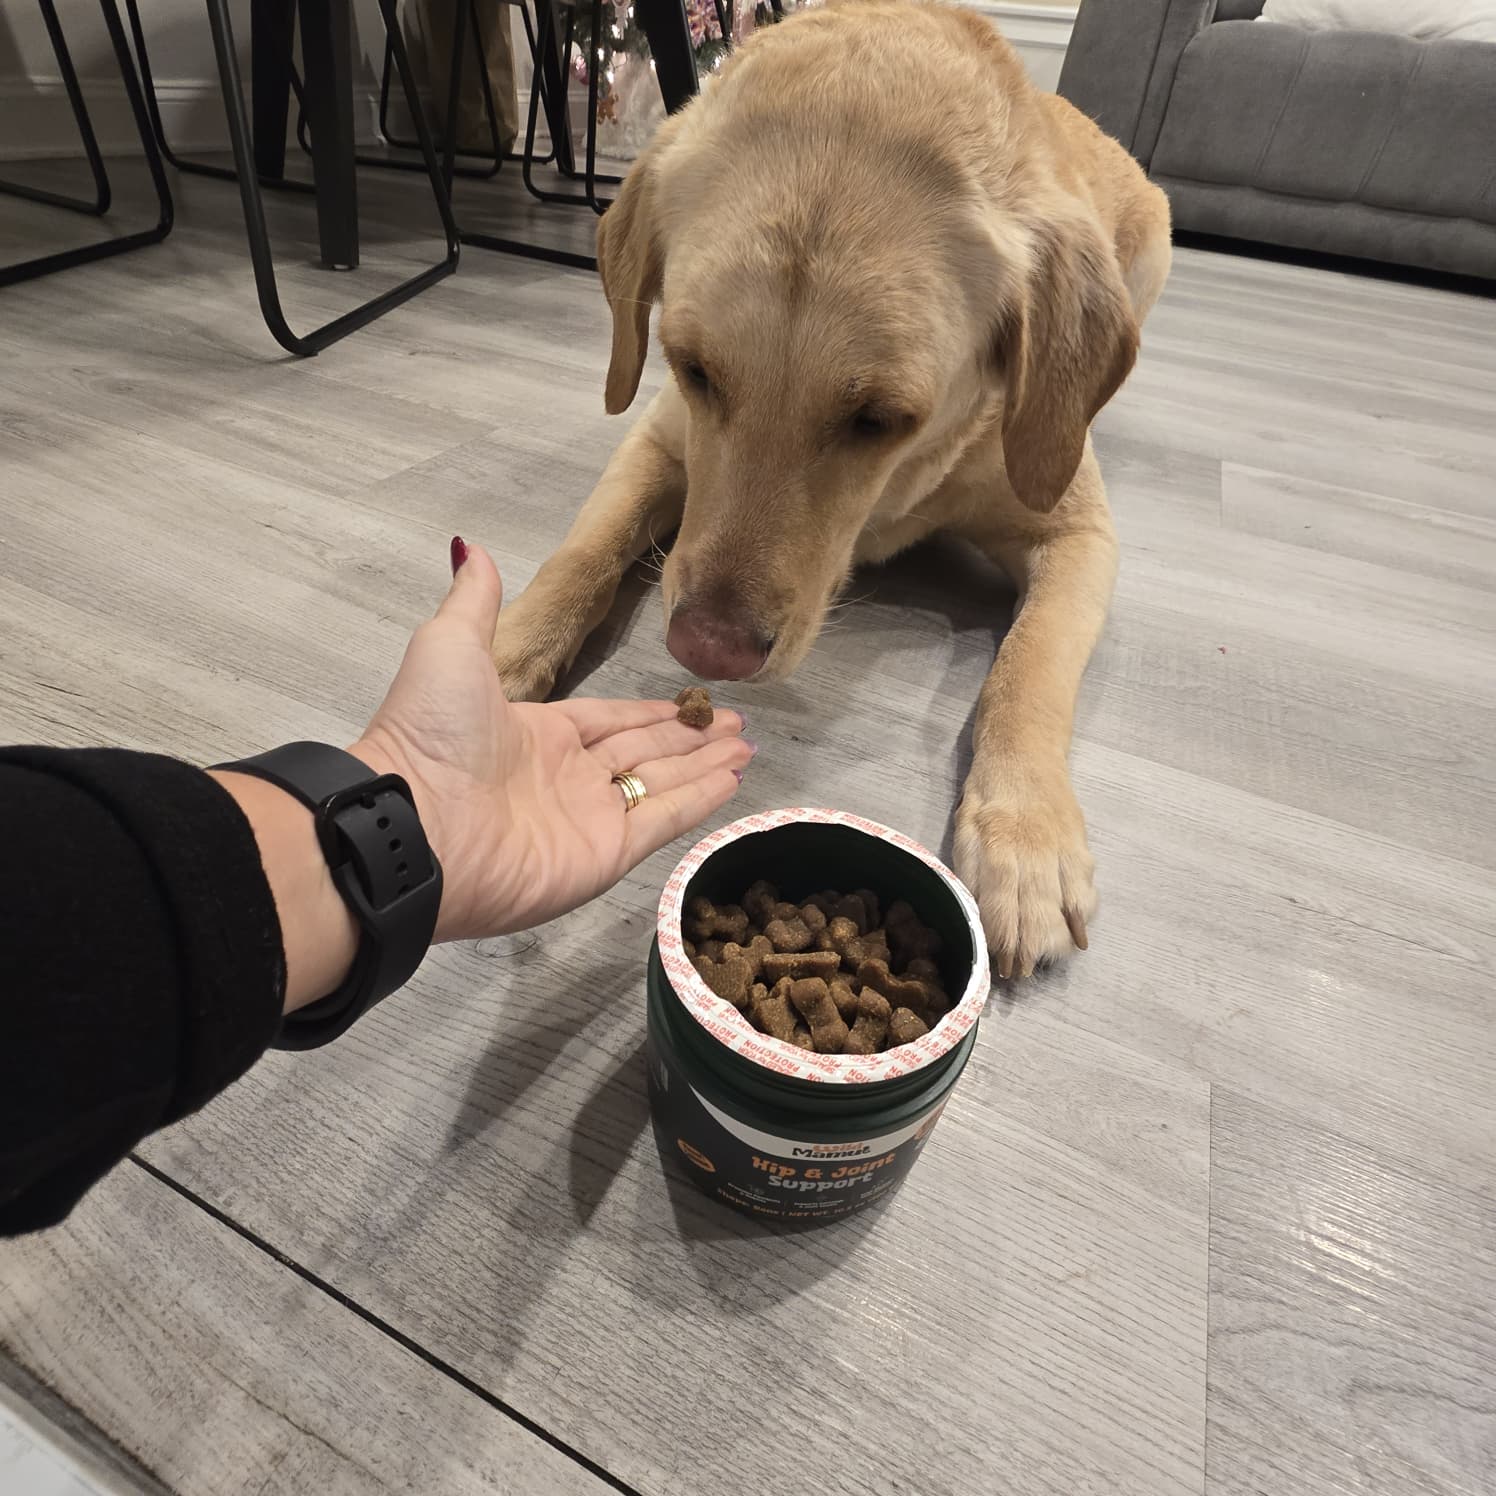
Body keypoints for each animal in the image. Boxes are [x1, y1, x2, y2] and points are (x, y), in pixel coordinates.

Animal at [490, 0, 1171, 977]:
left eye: (879, 418)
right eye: (693, 367)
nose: (706, 652)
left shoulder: (1077, 529)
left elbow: (1029, 669)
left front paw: (1025, 837)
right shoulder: (658, 434)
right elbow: (582, 552)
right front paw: (504, 656)